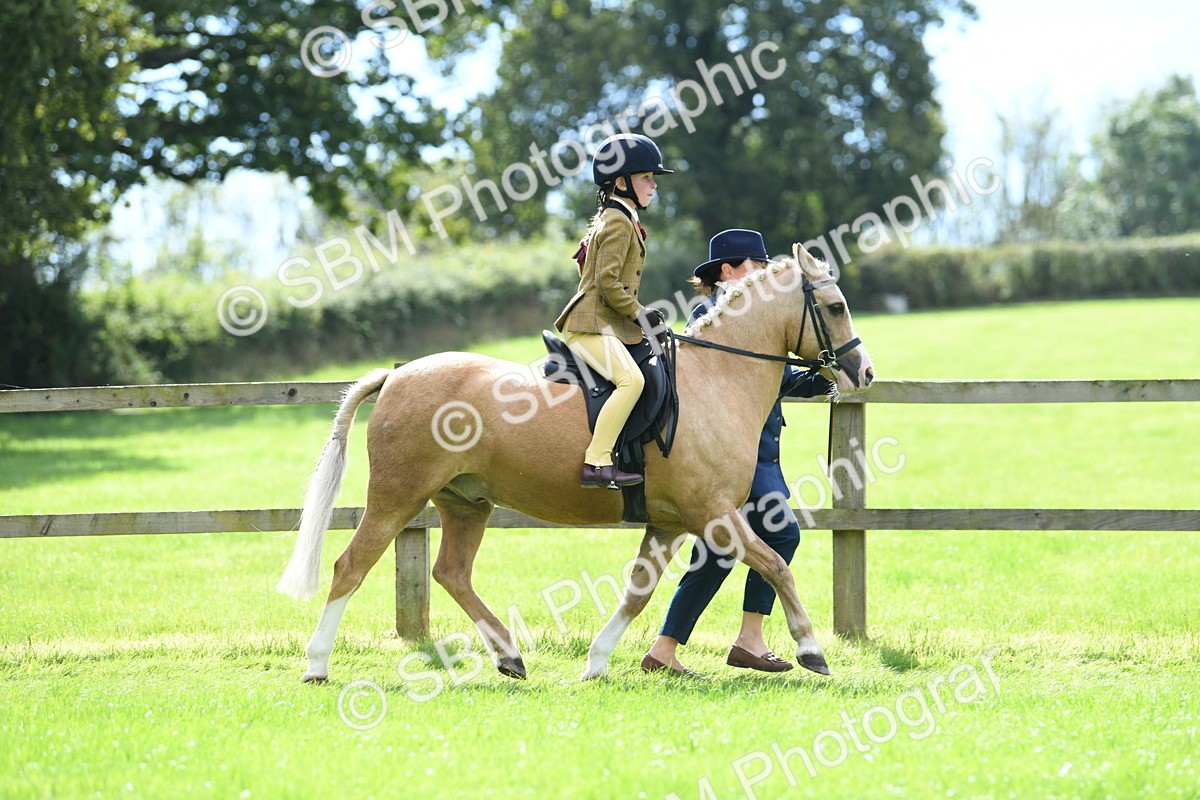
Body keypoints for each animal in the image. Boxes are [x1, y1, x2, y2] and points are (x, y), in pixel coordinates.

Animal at [277, 243, 874, 683]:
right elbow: (775, 565)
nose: (863, 373)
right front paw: (812, 650)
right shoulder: (713, 514)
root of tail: (397, 375)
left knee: (451, 573)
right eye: (837, 307)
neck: (715, 378)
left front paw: (596, 662)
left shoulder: (670, 522)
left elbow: (639, 592)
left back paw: (509, 656)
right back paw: (317, 665)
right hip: (397, 496)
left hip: (466, 502)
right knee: (351, 567)